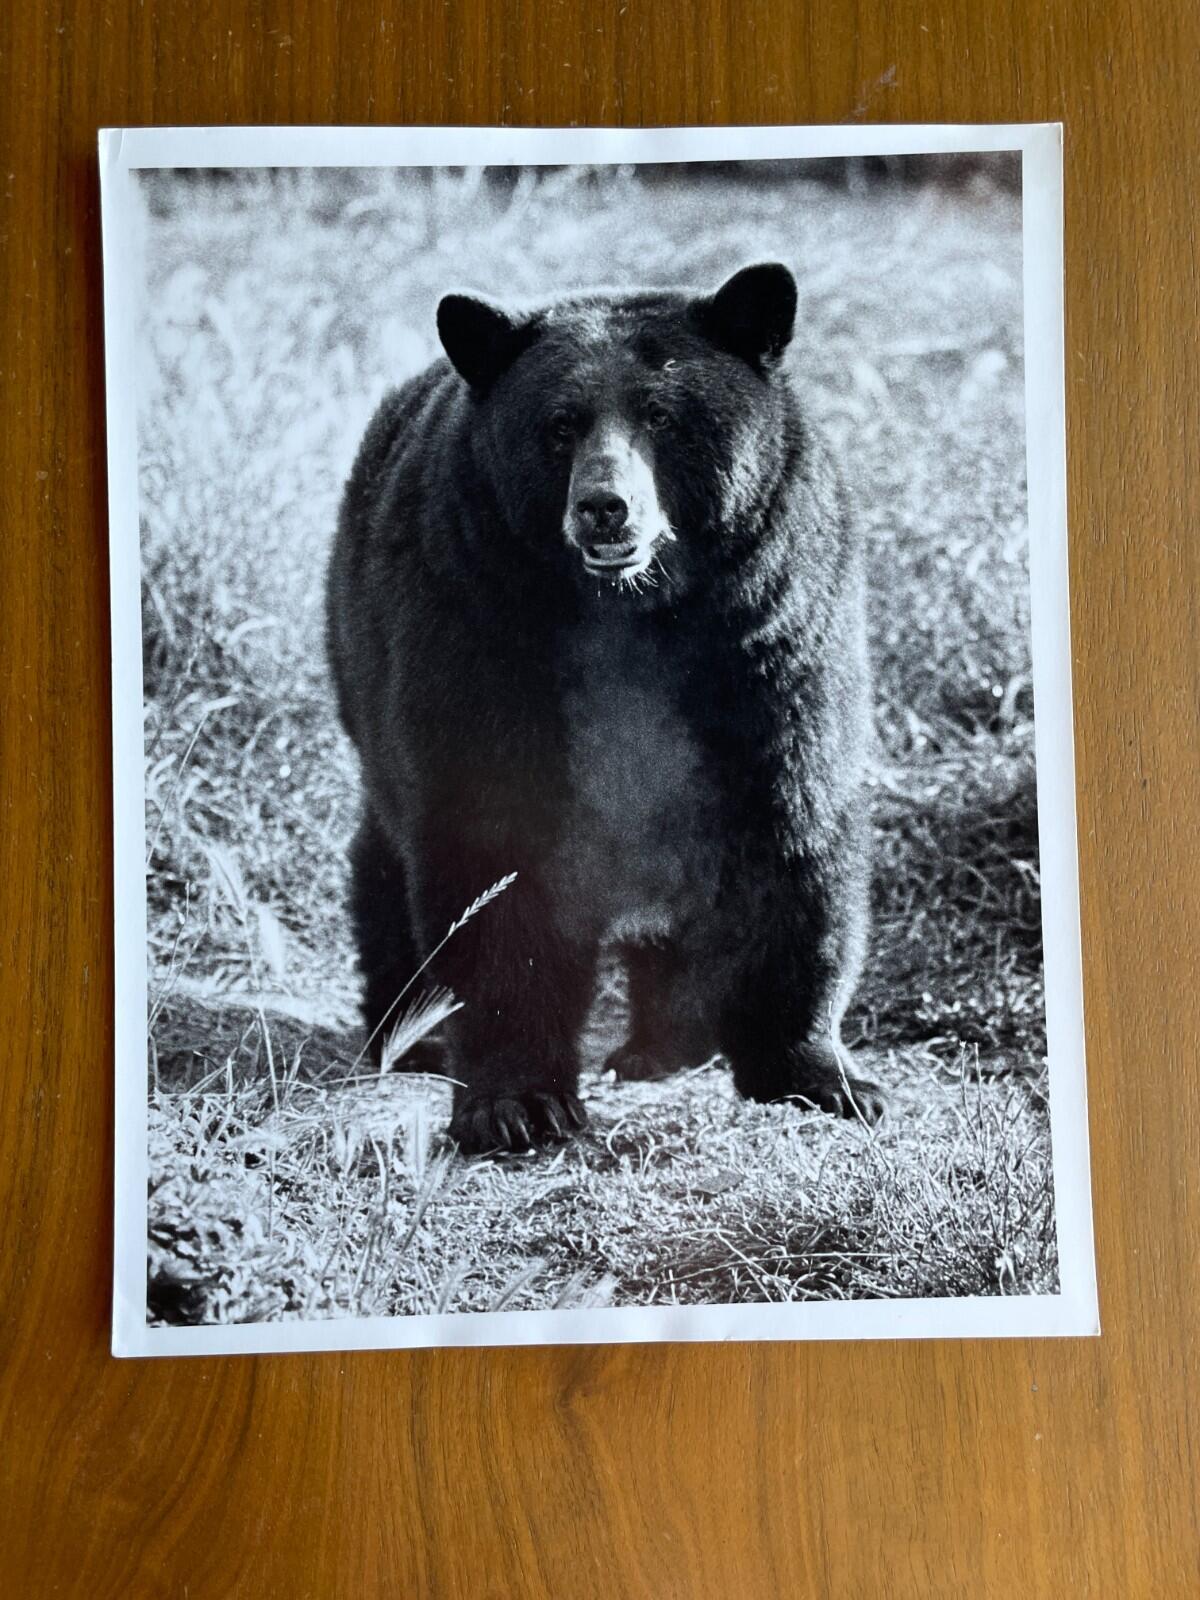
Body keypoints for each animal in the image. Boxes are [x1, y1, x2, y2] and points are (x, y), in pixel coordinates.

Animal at [326, 261, 885, 1154]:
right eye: (560, 425)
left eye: (662, 415)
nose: (604, 506)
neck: (629, 612)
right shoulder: (477, 632)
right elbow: (493, 859)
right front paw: (517, 1103)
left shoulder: (769, 636)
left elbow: (791, 833)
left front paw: (822, 1075)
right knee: (386, 858)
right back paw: (407, 1032)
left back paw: (664, 1045)